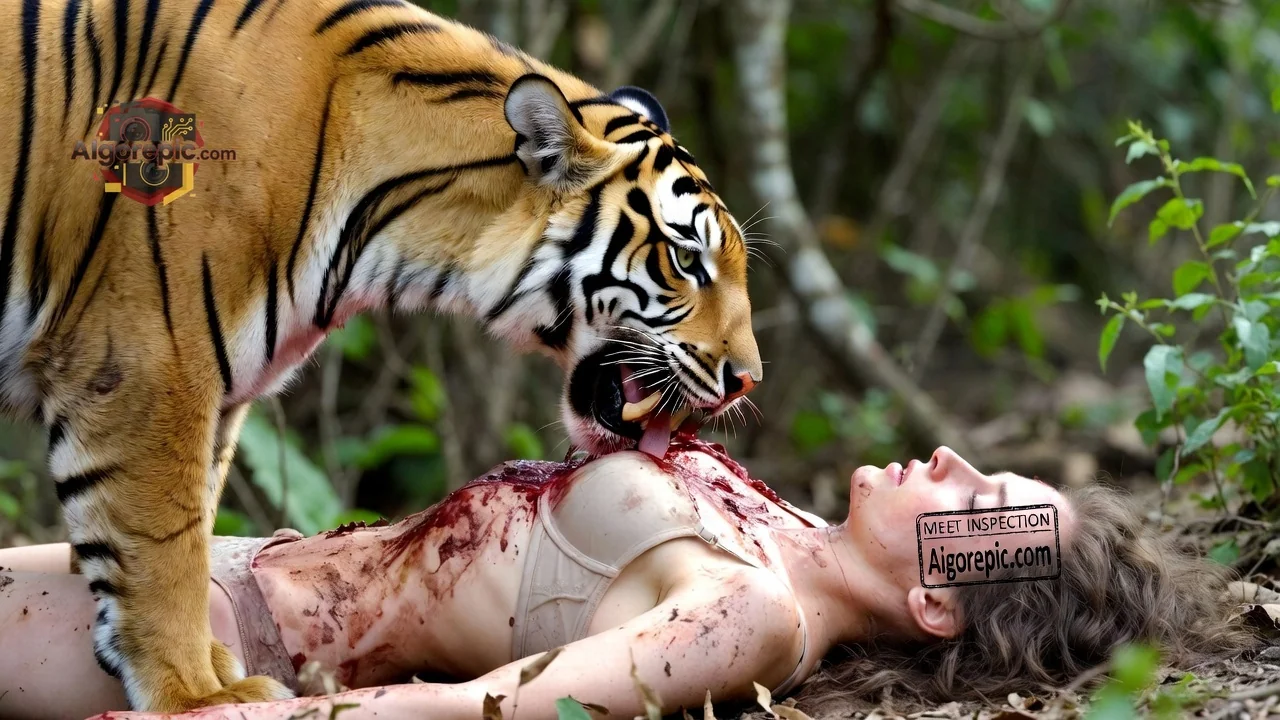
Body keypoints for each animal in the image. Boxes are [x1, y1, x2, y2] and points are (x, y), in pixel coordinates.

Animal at [0, 0, 763, 712]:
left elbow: (178, 529)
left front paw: (200, 668)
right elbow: (162, 545)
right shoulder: (149, 364)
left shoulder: (211, 394)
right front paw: (195, 694)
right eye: (686, 260)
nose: (747, 380)